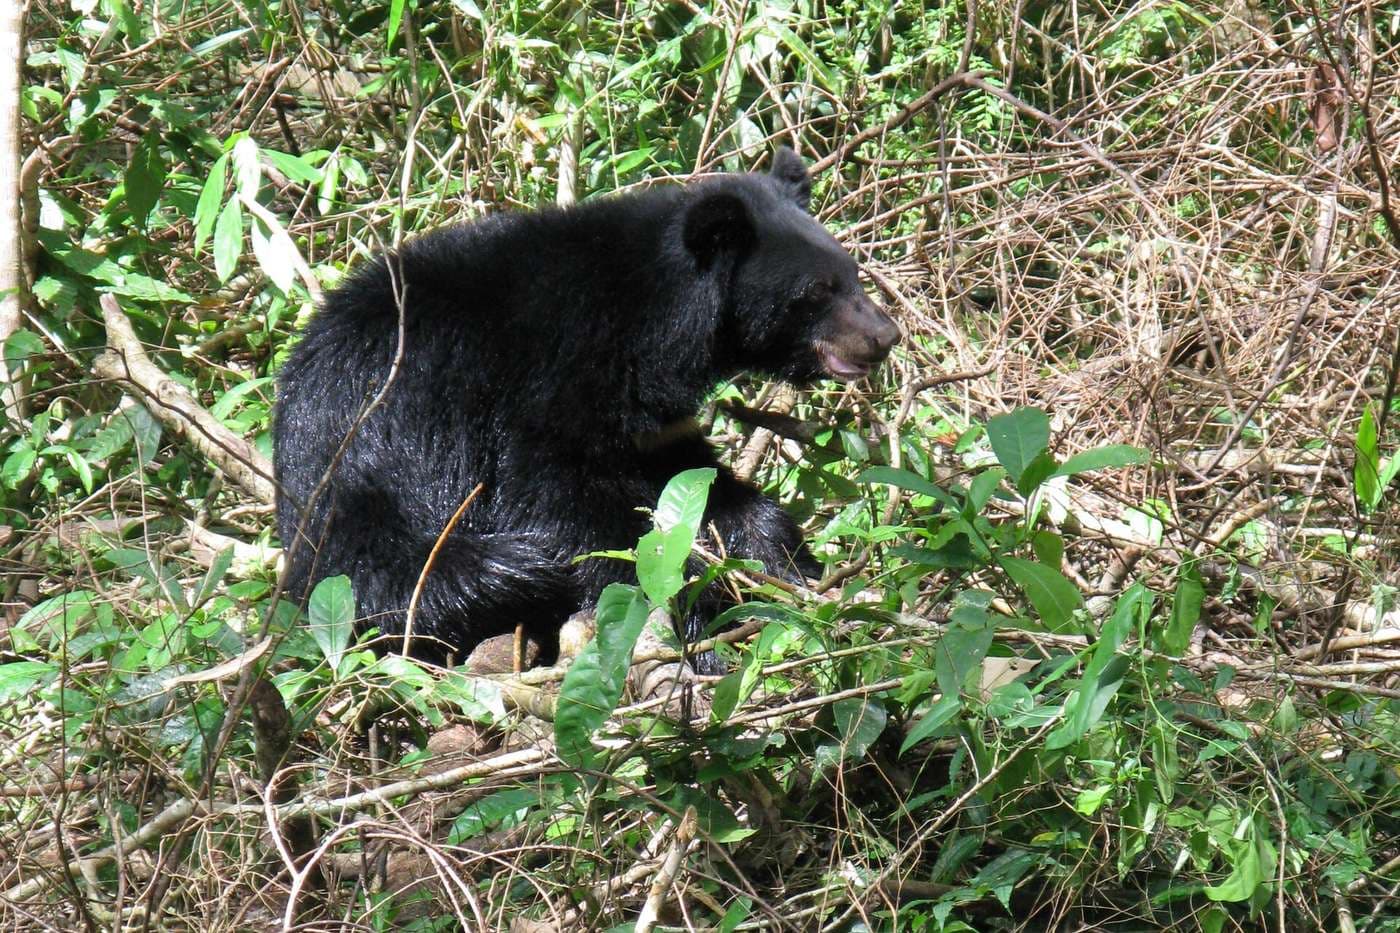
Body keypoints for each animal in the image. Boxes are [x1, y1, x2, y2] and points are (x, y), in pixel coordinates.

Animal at [272, 148, 899, 669]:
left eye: (851, 274)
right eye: (816, 291)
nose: (885, 336)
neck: (654, 326)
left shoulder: (652, 422)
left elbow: (697, 481)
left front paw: (792, 567)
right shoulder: (543, 383)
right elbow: (561, 503)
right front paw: (703, 616)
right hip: (362, 485)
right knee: (419, 579)